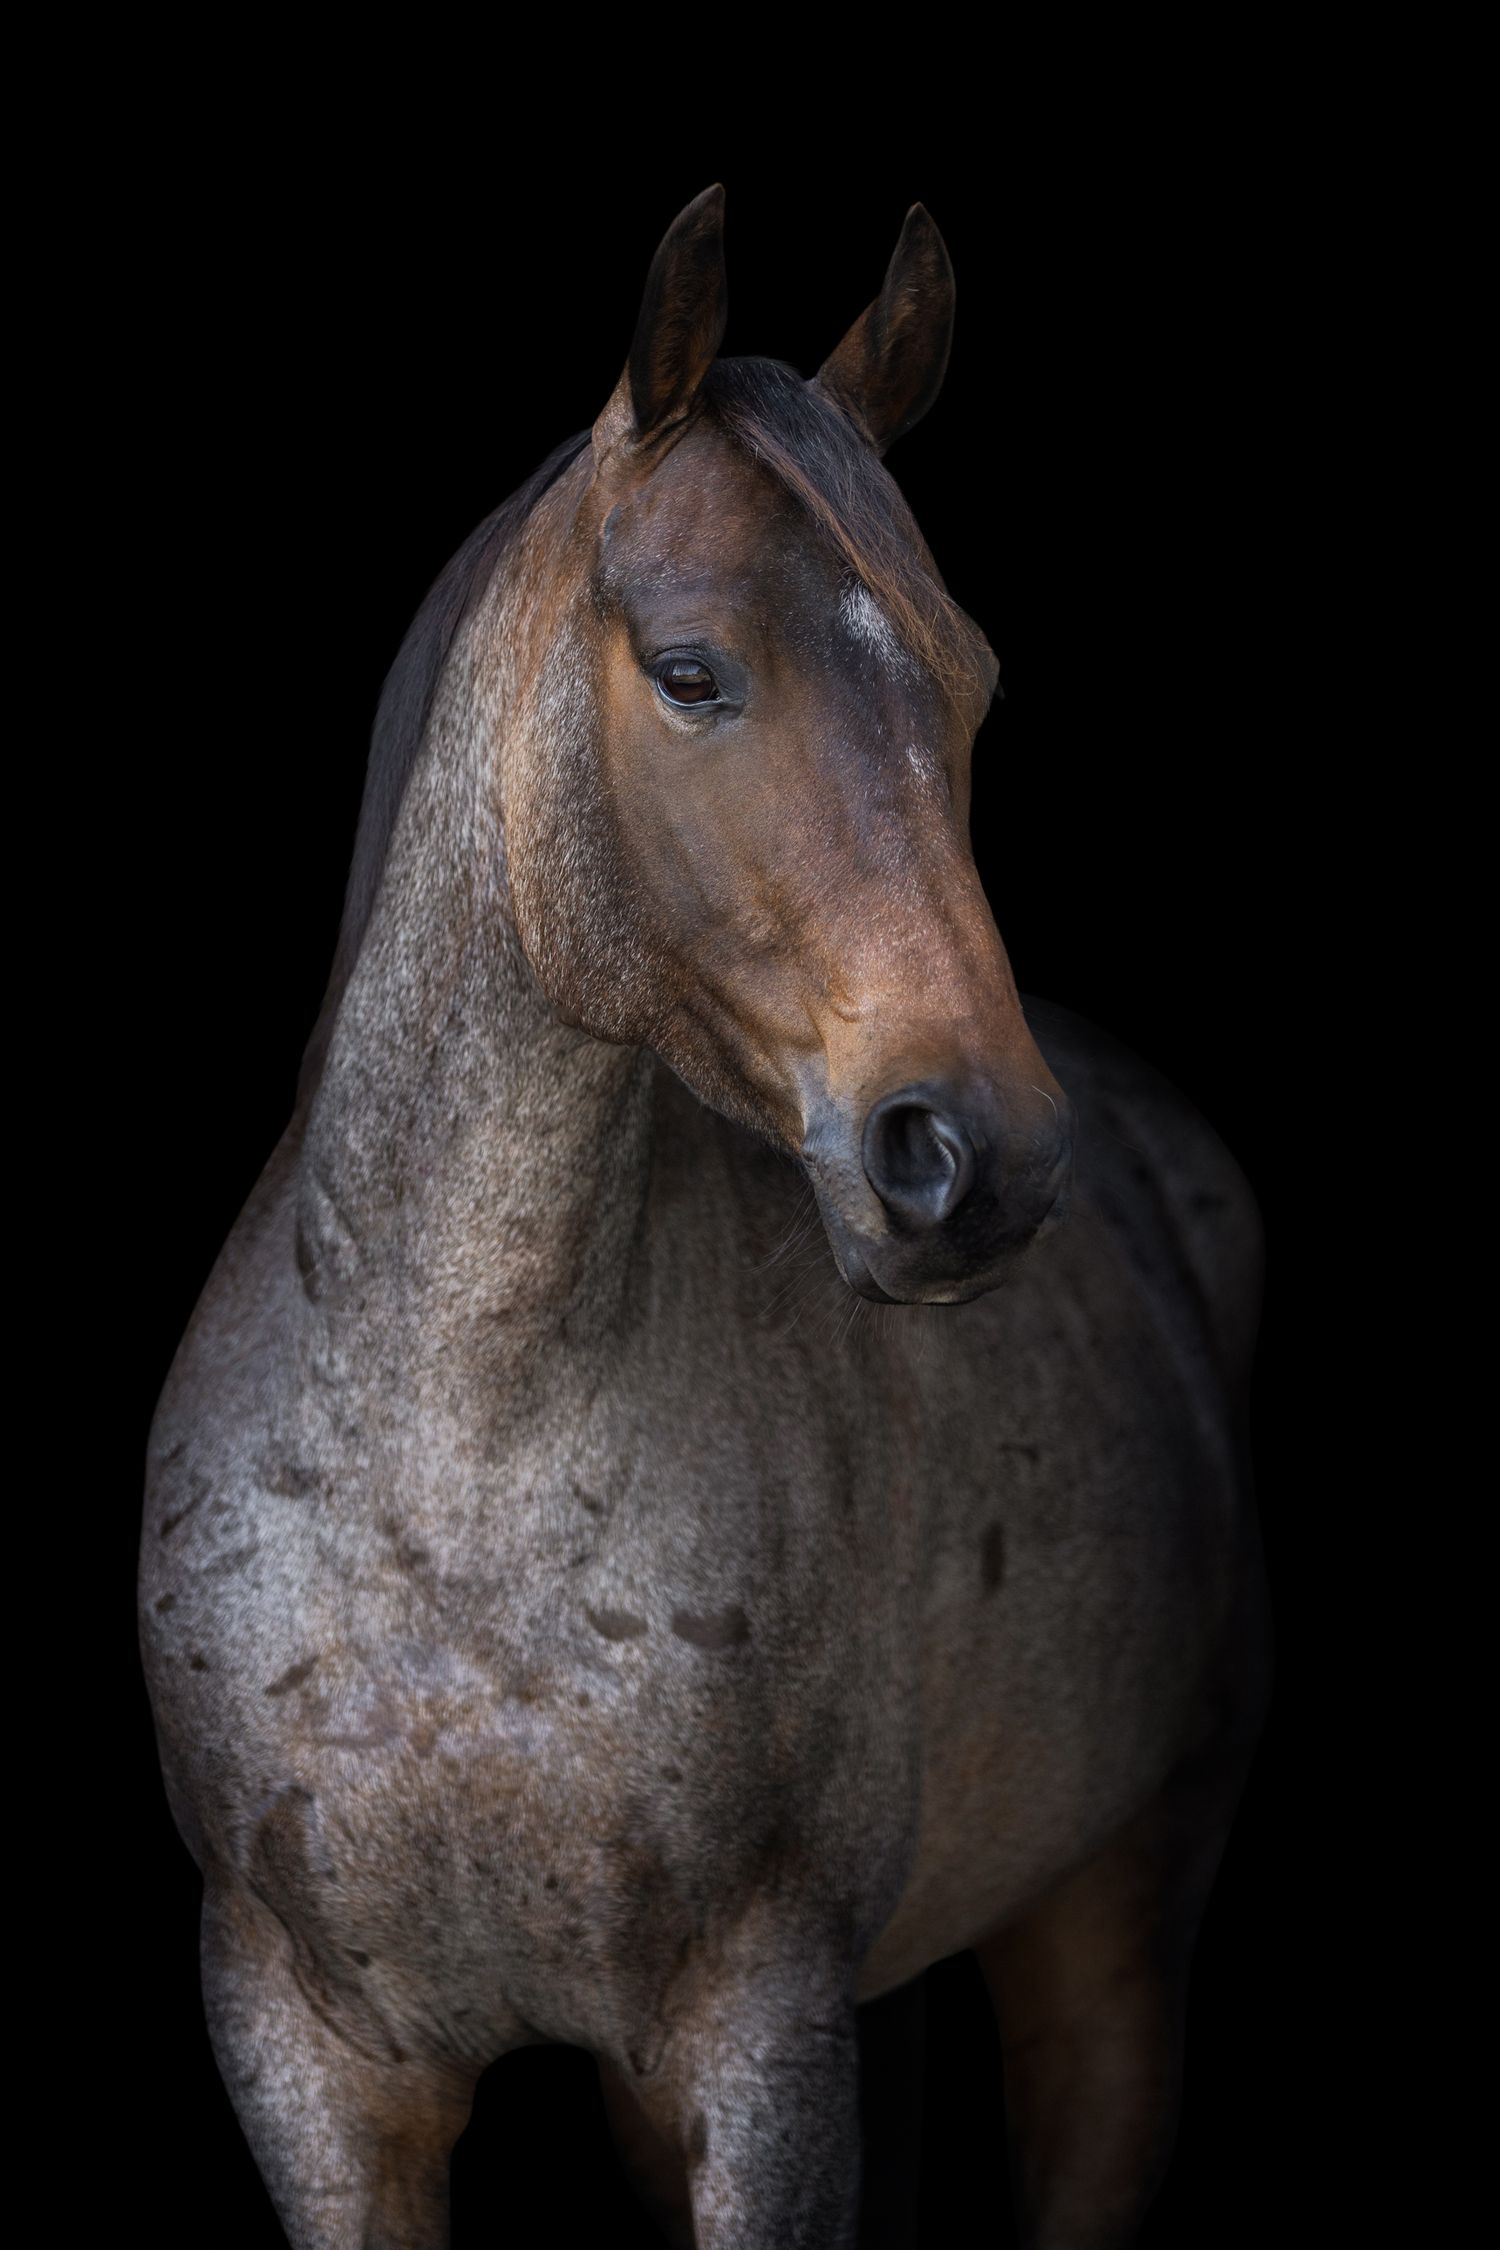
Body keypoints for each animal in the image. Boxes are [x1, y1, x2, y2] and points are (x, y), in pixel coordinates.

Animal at [139, 184, 1272, 2249]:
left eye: (972, 682)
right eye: (687, 670)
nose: (978, 1154)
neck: (458, 1466)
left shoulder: (762, 2038)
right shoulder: (312, 2060)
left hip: (1107, 1944)